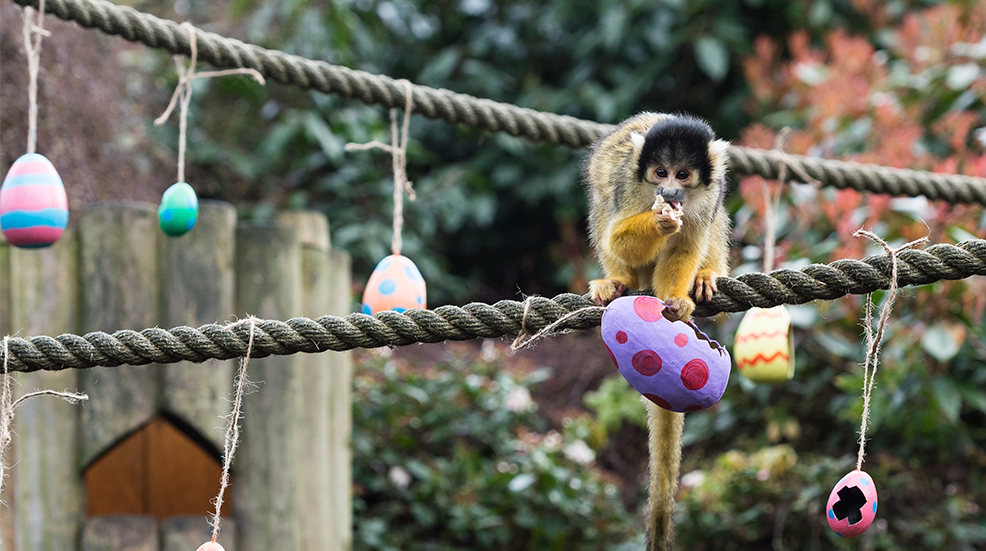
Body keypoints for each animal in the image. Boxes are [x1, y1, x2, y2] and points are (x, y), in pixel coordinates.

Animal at [583, 112, 730, 551]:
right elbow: (619, 237)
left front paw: (678, 300)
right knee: (604, 211)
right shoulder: (632, 185)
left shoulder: (708, 193)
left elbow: (687, 243)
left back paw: (706, 275)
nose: (668, 191)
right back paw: (616, 282)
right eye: (661, 172)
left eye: (683, 174)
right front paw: (661, 220)